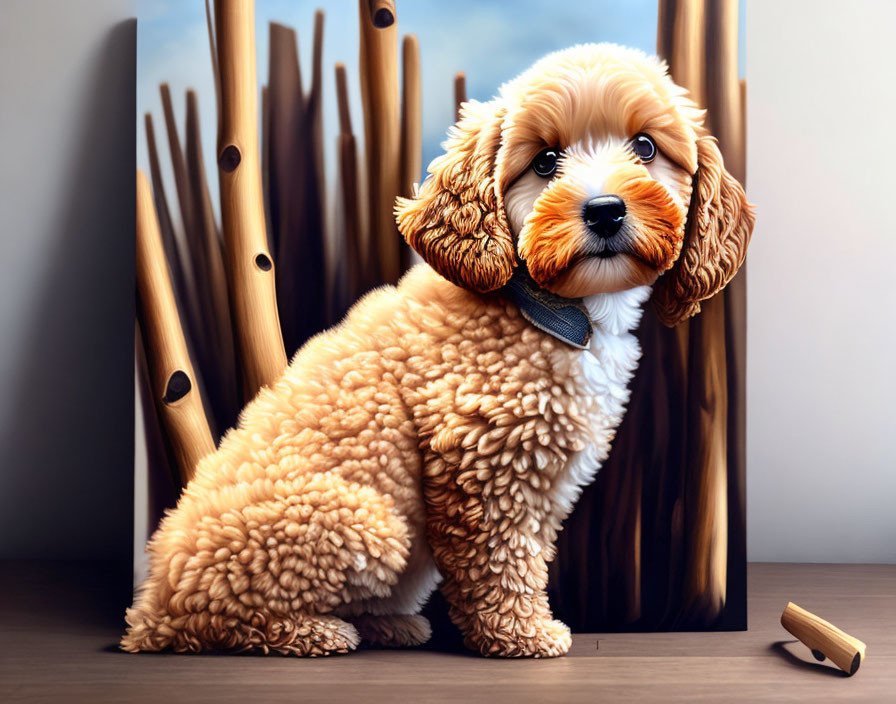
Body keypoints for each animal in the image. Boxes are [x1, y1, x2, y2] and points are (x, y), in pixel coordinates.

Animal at [124, 44, 756, 660]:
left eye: (645, 147)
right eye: (545, 162)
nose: (605, 210)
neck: (547, 307)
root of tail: (149, 602)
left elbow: (524, 554)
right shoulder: (485, 471)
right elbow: (500, 561)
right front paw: (522, 636)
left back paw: (387, 625)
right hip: (363, 524)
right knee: (214, 618)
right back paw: (312, 633)